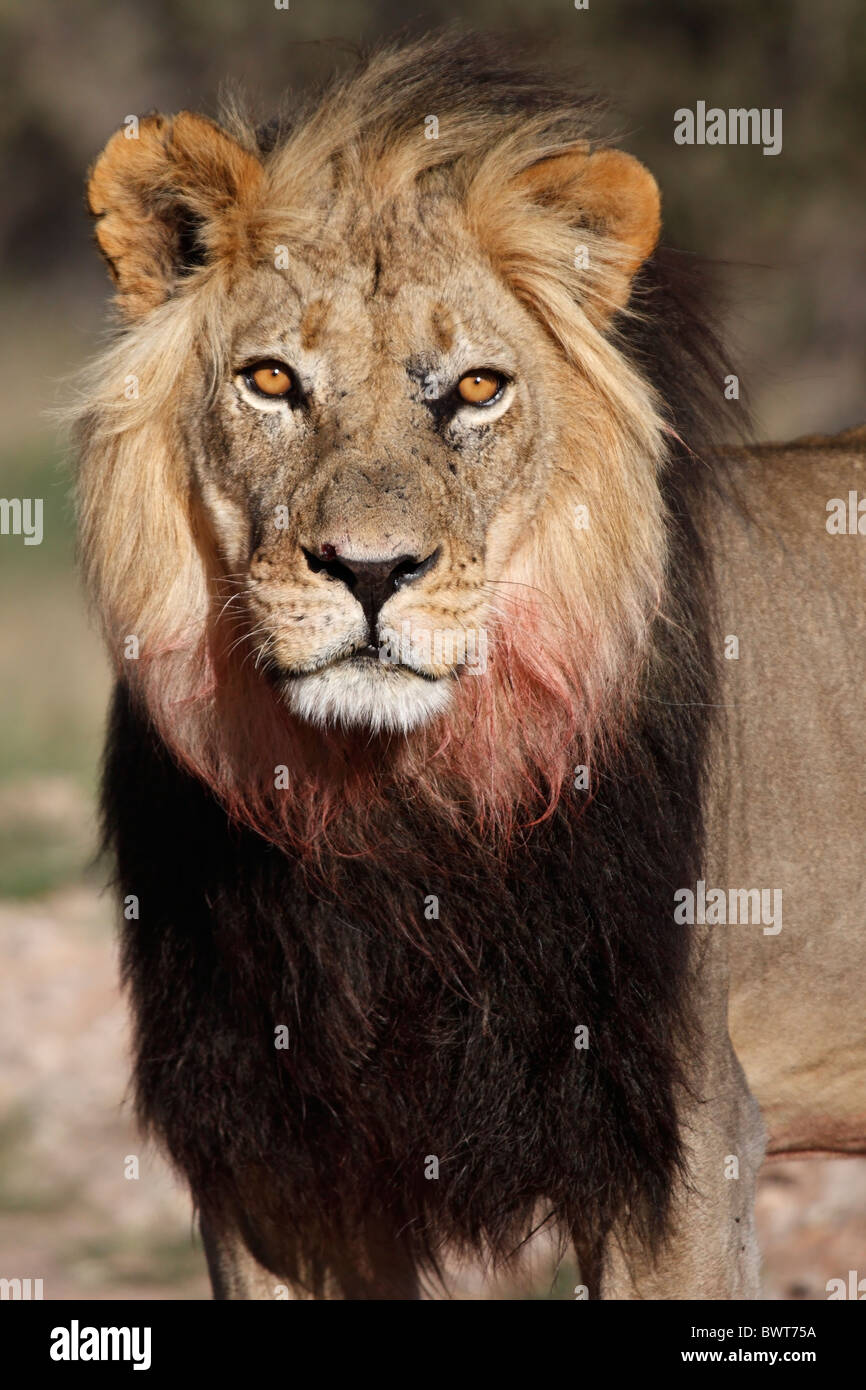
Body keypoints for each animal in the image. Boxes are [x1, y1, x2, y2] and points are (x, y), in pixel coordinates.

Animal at [76, 35, 866, 1301]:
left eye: (476, 389)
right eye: (270, 381)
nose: (370, 569)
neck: (388, 812)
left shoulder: (678, 1133)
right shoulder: (269, 1161)